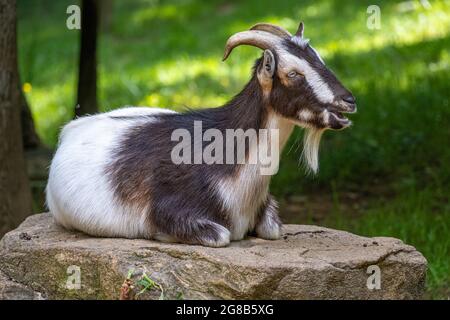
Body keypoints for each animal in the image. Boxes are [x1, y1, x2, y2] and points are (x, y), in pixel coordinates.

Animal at [45, 21, 356, 248]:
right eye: (293, 73)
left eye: (320, 60)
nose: (349, 100)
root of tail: (71, 129)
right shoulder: (170, 211)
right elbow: (221, 235)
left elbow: (272, 228)